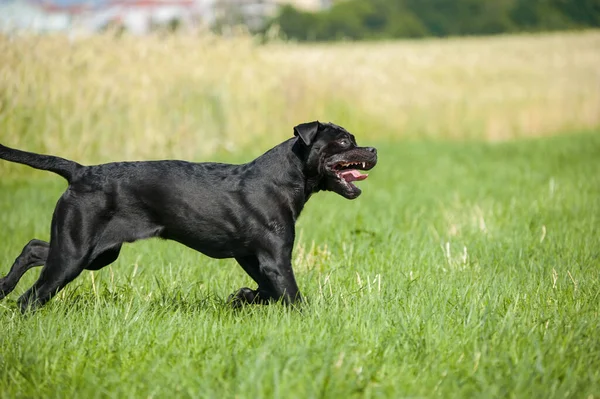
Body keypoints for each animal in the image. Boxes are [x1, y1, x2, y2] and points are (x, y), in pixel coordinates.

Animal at [0, 122, 376, 312]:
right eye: (345, 142)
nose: (373, 149)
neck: (286, 178)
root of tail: (79, 171)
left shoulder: (252, 257)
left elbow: (267, 291)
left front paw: (242, 298)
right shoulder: (275, 258)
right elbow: (292, 296)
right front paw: (306, 318)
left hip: (95, 253)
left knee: (34, 247)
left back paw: (3, 286)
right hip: (77, 254)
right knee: (31, 296)